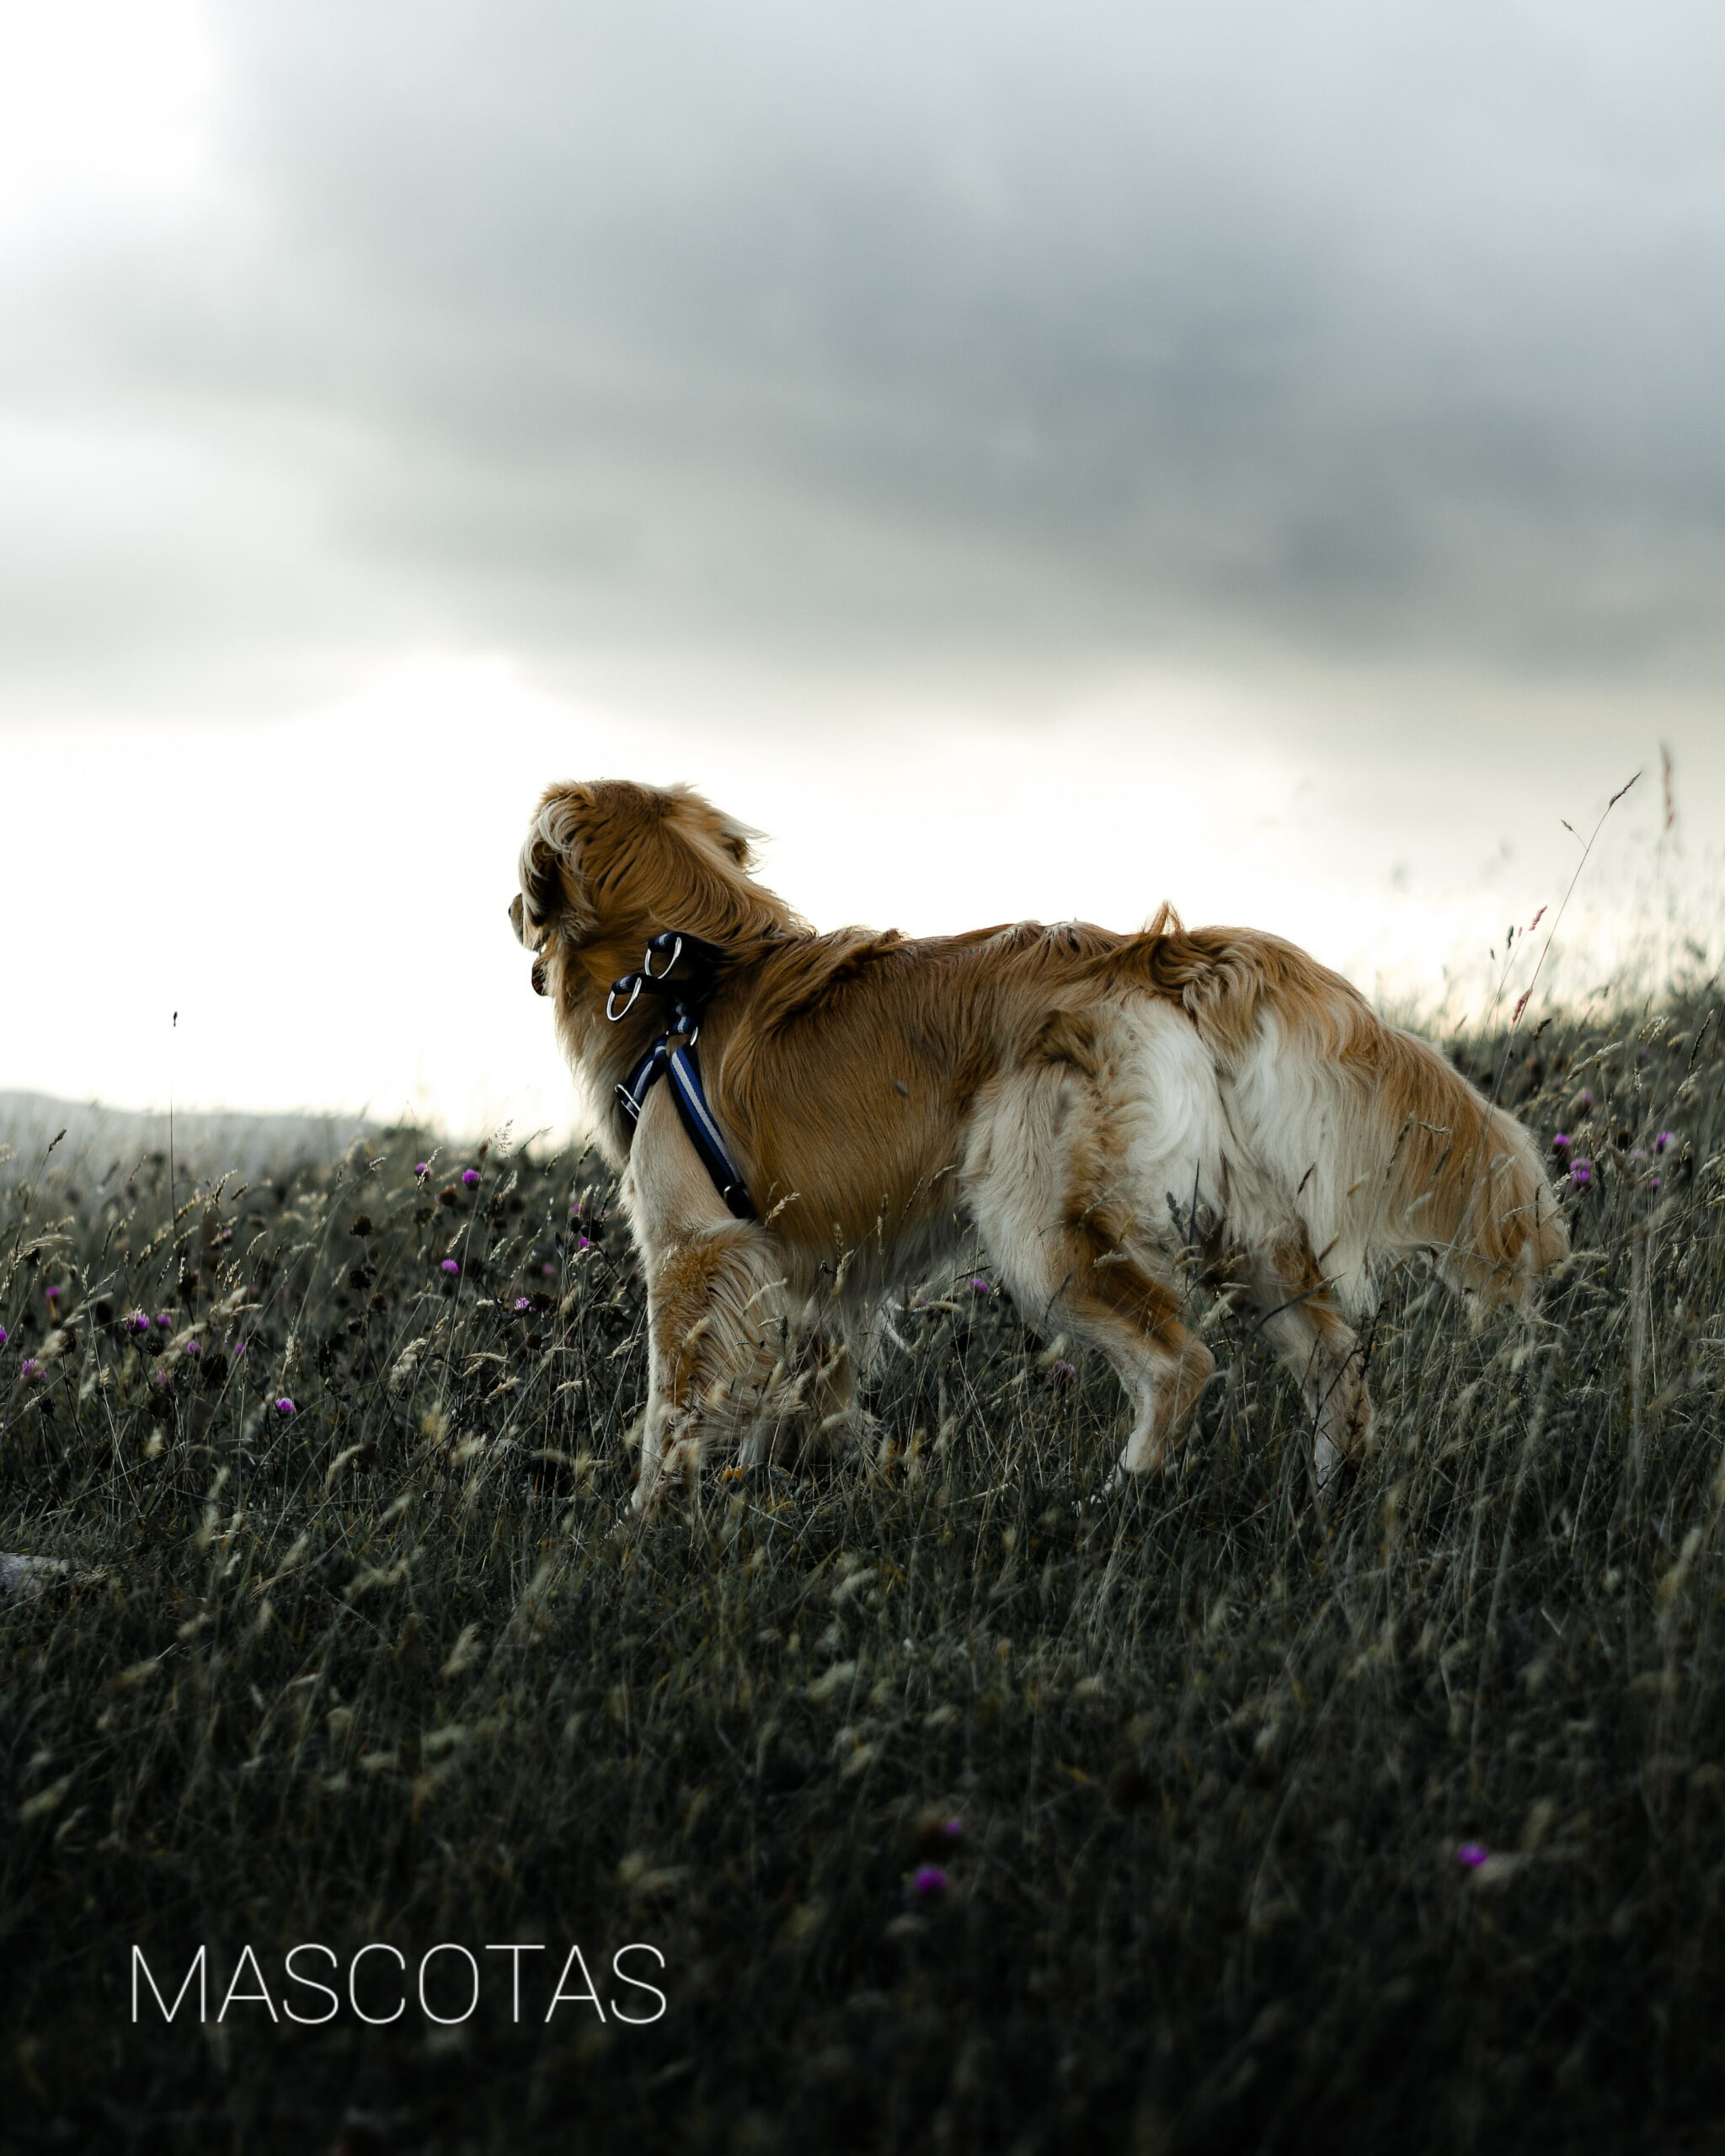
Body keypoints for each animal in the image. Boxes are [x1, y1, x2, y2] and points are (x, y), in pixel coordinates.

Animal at [505, 780, 1569, 1518]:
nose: (509, 913)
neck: (686, 976)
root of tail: (1153, 953)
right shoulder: (814, 1268)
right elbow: (808, 1394)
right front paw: (807, 1486)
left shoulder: (696, 1248)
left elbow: (671, 1403)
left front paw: (649, 1518)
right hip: (1245, 1229)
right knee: (1333, 1358)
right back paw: (1328, 1492)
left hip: (1037, 1232)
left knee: (1178, 1361)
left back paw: (1120, 1495)